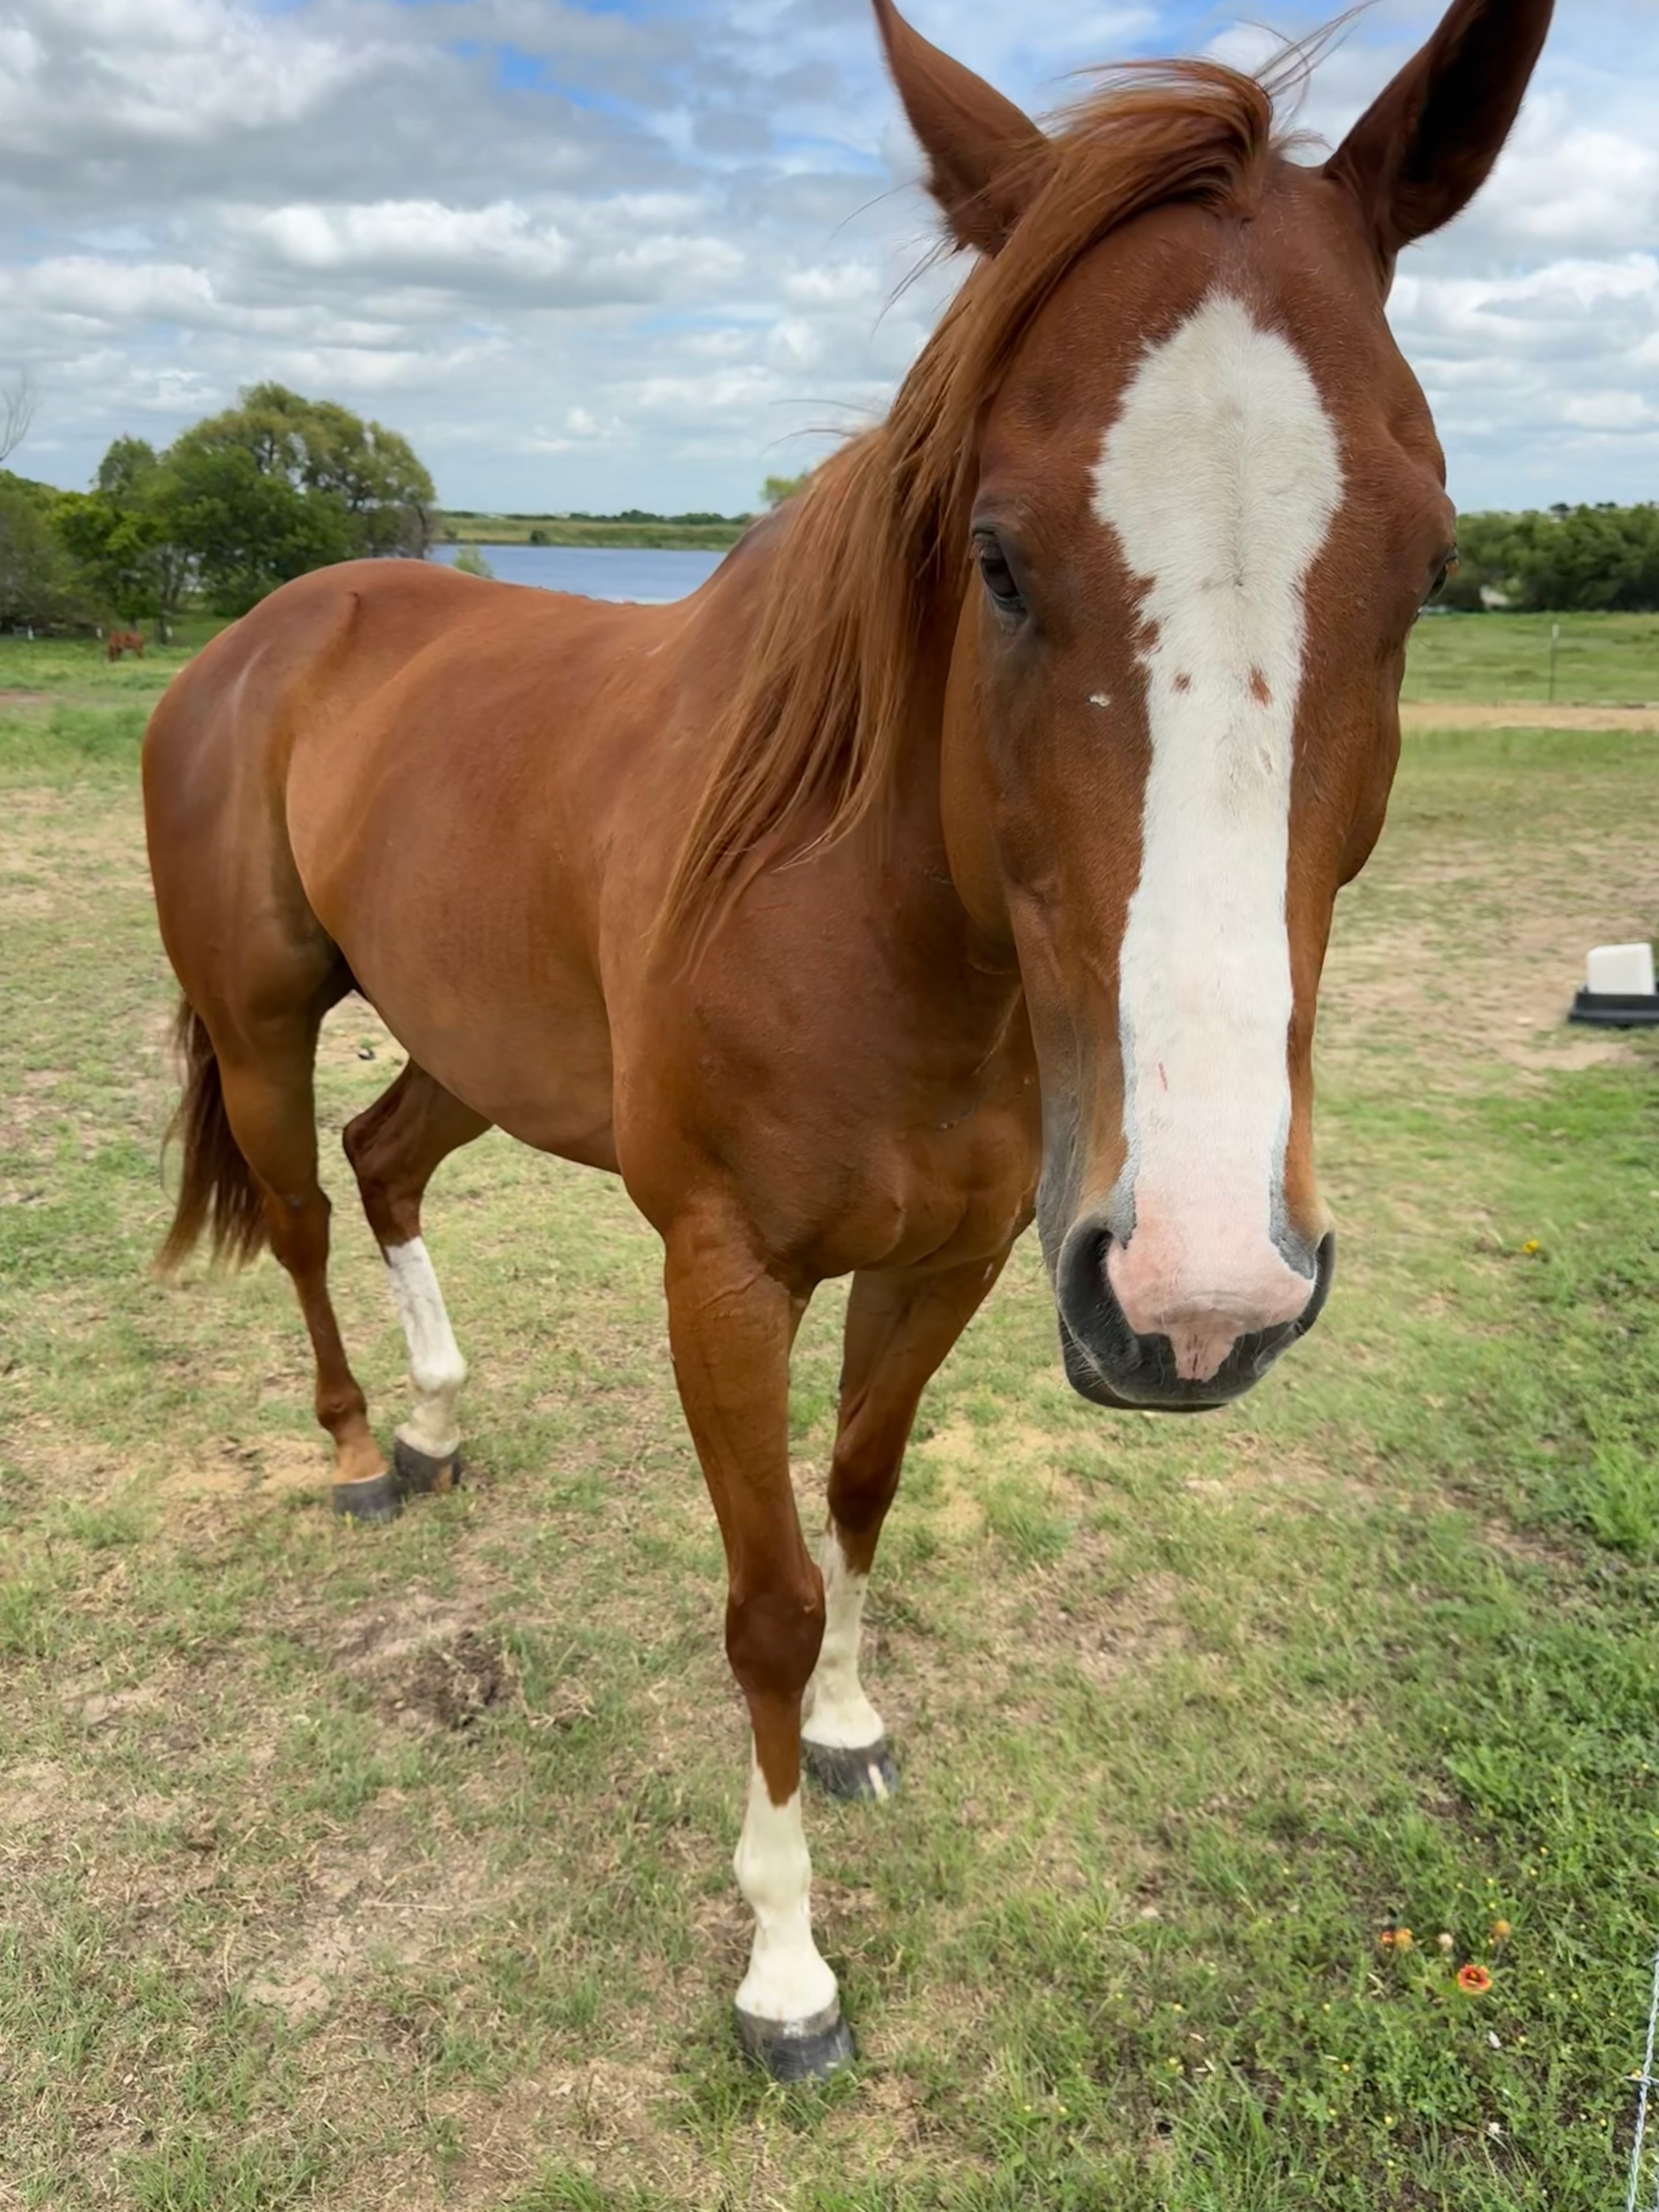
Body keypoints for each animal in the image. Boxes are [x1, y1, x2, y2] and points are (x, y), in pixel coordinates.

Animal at [141, 0, 1553, 2080]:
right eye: (997, 554)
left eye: (1432, 563)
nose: (1203, 1292)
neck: (874, 921)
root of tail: (270, 628)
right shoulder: (723, 1276)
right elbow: (767, 1599)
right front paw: (786, 1964)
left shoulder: (953, 1260)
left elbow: (865, 1499)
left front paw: (859, 1735)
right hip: (258, 1016)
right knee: (309, 1212)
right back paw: (352, 1452)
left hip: (474, 1047)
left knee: (385, 1168)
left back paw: (441, 1414)